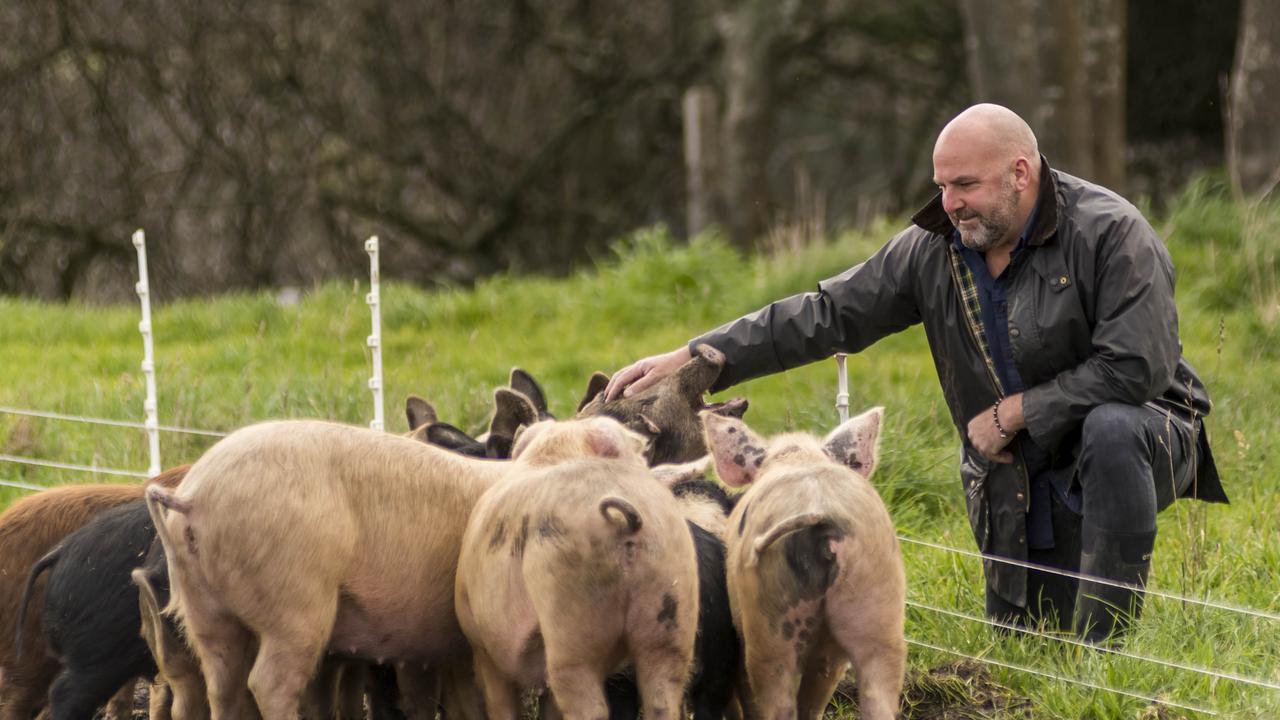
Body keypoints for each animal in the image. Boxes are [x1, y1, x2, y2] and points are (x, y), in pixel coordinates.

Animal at [455, 415, 701, 717]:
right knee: (663, 693)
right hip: (671, 611)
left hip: (570, 619)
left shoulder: (484, 648)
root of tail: (625, 520)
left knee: (588, 704)